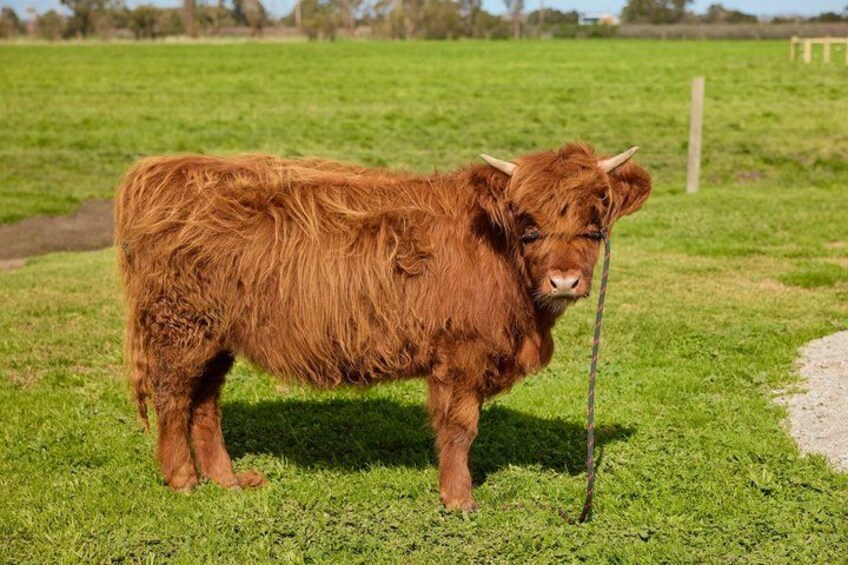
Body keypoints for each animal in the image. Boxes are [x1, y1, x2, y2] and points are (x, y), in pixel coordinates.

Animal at [115, 142, 651, 511]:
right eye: (528, 223)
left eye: (594, 222)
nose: (564, 280)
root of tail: (165, 169)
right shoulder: (460, 354)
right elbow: (460, 428)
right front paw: (459, 499)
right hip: (182, 327)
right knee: (174, 396)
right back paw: (183, 479)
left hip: (217, 336)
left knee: (205, 403)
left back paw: (228, 480)